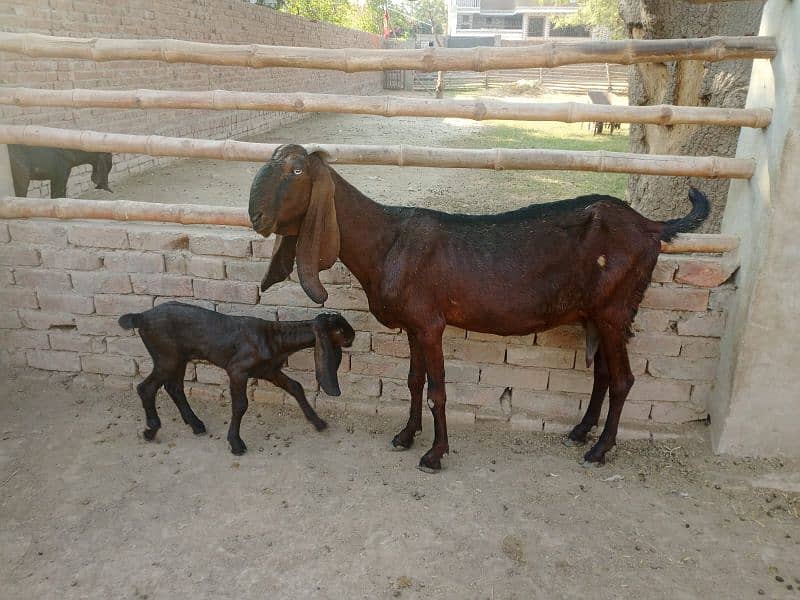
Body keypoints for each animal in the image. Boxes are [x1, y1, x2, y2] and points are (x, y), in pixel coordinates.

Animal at [247, 143, 708, 472]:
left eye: (296, 171)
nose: (255, 215)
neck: (388, 241)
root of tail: (651, 227)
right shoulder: (415, 324)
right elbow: (413, 382)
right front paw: (405, 436)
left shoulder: (430, 324)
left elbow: (438, 390)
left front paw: (435, 454)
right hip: (595, 314)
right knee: (604, 374)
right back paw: (580, 431)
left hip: (615, 309)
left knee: (625, 380)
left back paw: (599, 451)